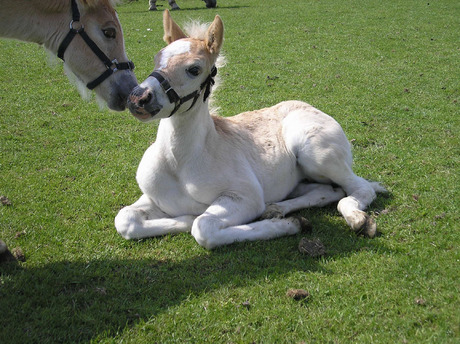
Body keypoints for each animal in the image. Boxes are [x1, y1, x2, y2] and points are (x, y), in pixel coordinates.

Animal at [115, 9, 384, 249]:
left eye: (194, 69)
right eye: (157, 57)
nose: (138, 98)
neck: (179, 164)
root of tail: (311, 107)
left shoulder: (245, 196)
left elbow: (203, 227)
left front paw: (290, 226)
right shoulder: (153, 197)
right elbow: (125, 219)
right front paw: (185, 218)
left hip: (317, 154)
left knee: (360, 188)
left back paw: (358, 220)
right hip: (302, 177)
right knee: (327, 190)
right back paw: (276, 209)